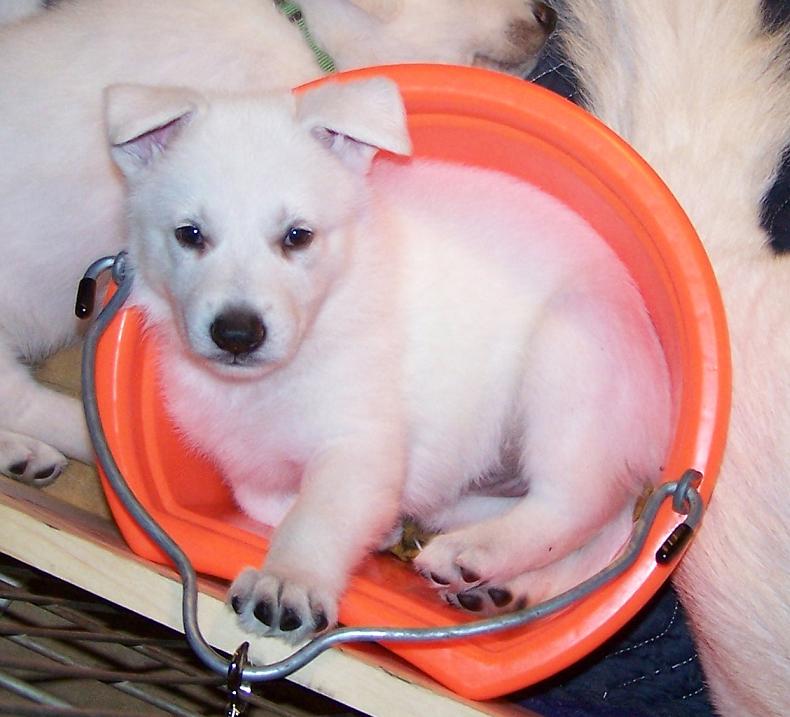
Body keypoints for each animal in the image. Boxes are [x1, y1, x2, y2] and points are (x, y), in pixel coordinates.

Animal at [104, 75, 671, 641]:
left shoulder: (359, 445)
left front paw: (289, 578)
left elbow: (318, 516)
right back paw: (504, 585)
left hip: (569, 370)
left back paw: (476, 553)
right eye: (189, 234)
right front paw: (368, 530)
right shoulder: (241, 455)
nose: (237, 335)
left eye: (298, 236)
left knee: (578, 508)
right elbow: (262, 498)